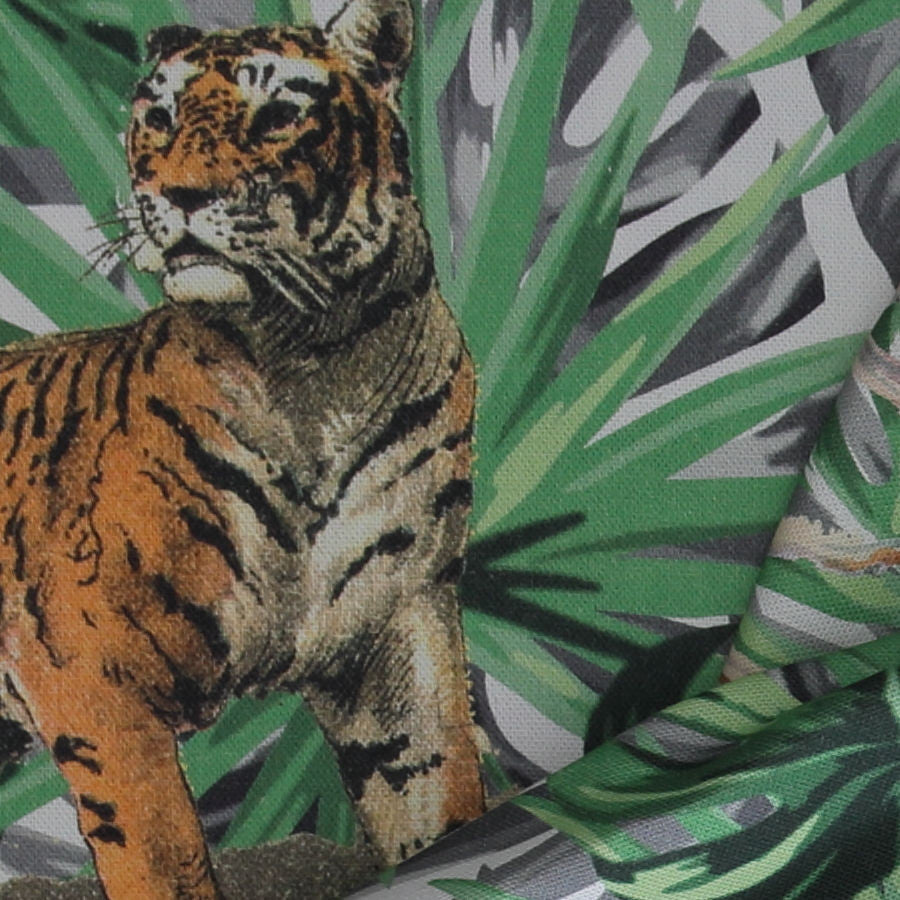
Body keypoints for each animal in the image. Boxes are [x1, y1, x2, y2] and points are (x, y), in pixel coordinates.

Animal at [0, 2, 485, 897]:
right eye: (160, 117)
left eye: (277, 115)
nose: (180, 193)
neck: (319, 368)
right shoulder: (95, 685)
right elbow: (164, 860)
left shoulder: (398, 629)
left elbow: (444, 804)